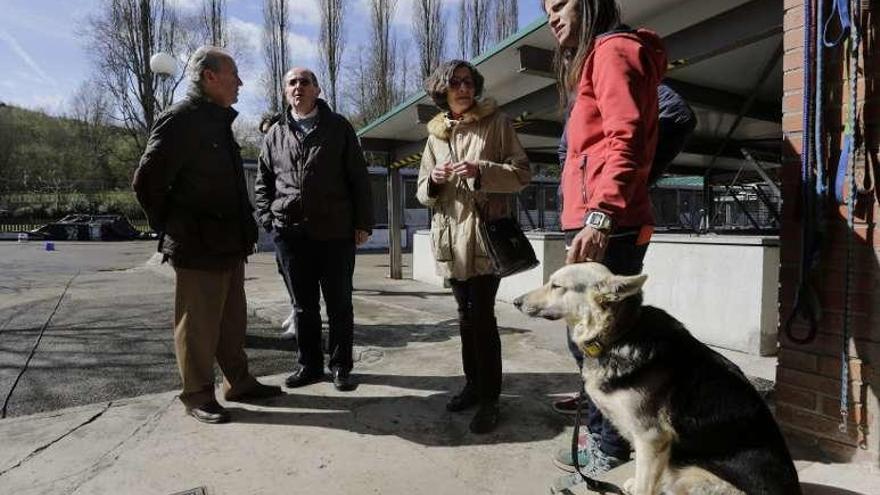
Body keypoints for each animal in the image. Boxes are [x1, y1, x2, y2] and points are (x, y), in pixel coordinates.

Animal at [512, 266, 800, 494]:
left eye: (556, 286)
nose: (516, 301)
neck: (619, 334)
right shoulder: (642, 438)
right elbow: (643, 474)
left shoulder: (650, 437)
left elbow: (645, 482)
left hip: (691, 474)